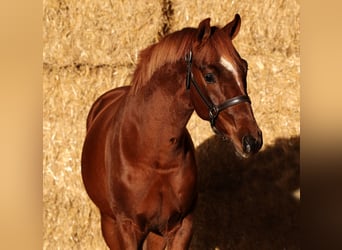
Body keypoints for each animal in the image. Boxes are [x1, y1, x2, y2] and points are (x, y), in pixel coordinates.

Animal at [81, 14, 264, 250]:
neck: (154, 155)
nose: (252, 139)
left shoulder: (181, 226)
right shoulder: (127, 228)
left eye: (244, 68)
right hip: (110, 225)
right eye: (209, 75)